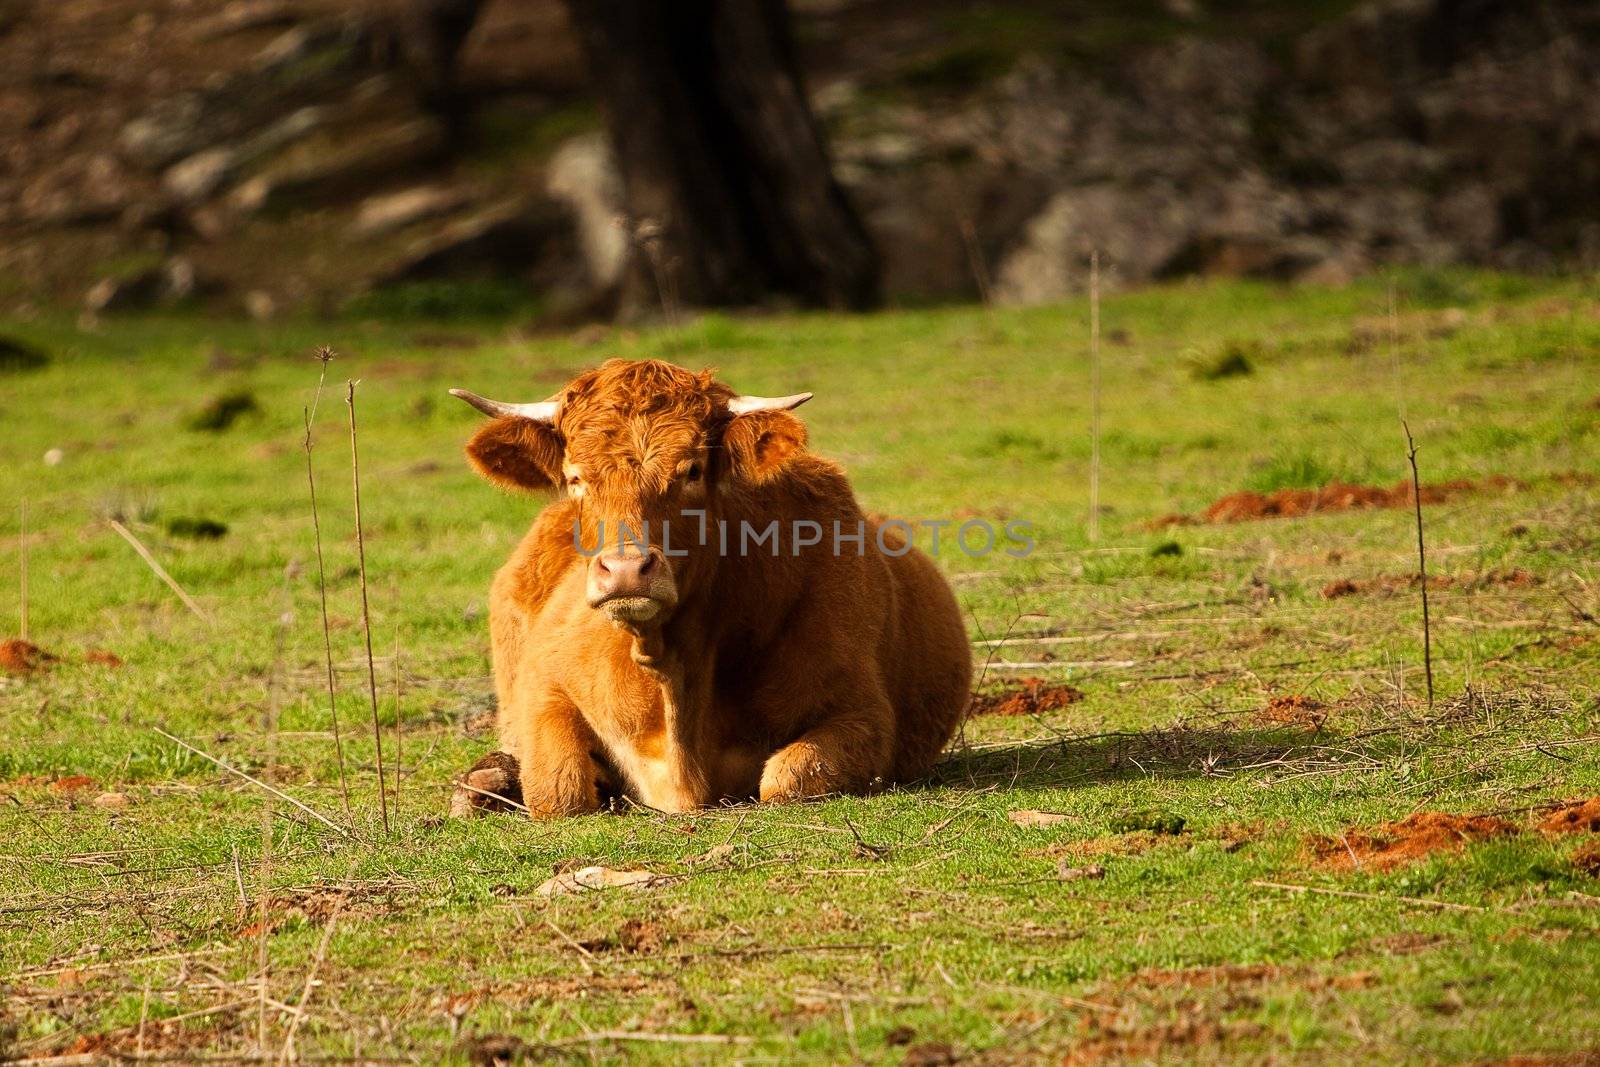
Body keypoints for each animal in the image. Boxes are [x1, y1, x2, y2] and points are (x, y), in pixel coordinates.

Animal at [444, 358, 966, 819]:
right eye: (575, 478)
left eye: (691, 470)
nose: (626, 570)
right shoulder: (545, 684)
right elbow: (560, 790)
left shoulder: (865, 713)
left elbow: (786, 777)